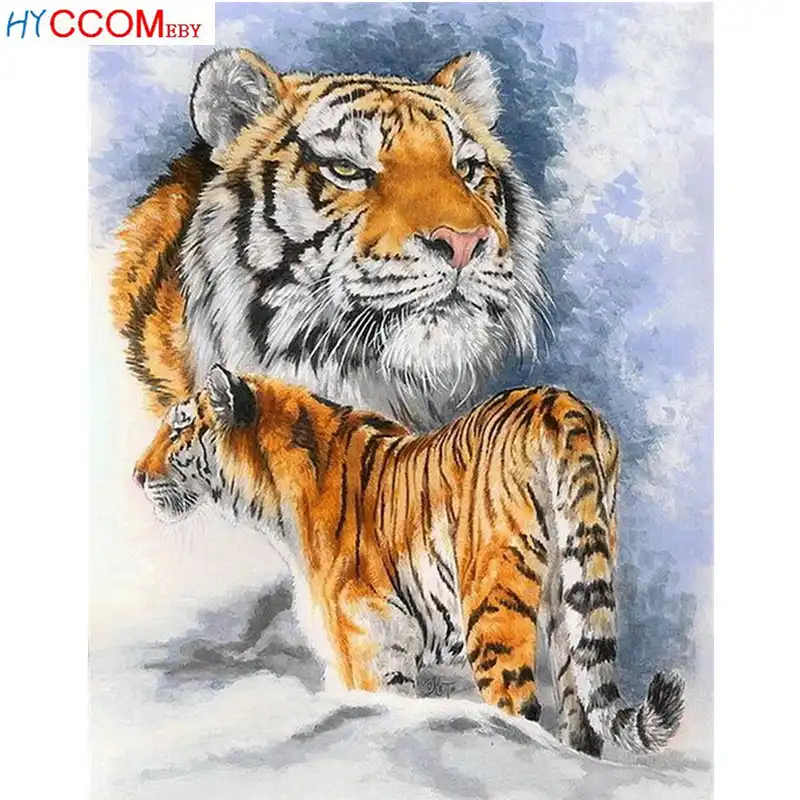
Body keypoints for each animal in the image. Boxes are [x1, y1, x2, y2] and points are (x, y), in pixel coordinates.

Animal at [133, 364, 685, 759]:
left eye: (179, 430)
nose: (136, 475)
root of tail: (563, 404)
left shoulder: (368, 651)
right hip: (573, 598)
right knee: (582, 719)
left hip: (492, 613)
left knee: (519, 711)